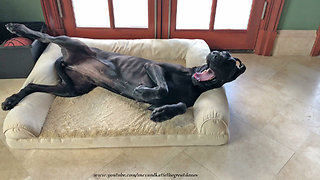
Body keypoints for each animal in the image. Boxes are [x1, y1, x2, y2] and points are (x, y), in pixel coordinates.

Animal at [1, 23, 245, 122]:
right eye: (224, 56)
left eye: (229, 60)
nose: (214, 54)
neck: (194, 82)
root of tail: (71, 60)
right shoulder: (154, 67)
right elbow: (162, 87)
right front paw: (143, 92)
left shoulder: (186, 100)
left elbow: (182, 105)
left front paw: (163, 113)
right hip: (70, 42)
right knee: (45, 37)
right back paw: (18, 28)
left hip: (74, 89)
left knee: (33, 85)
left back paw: (12, 100)